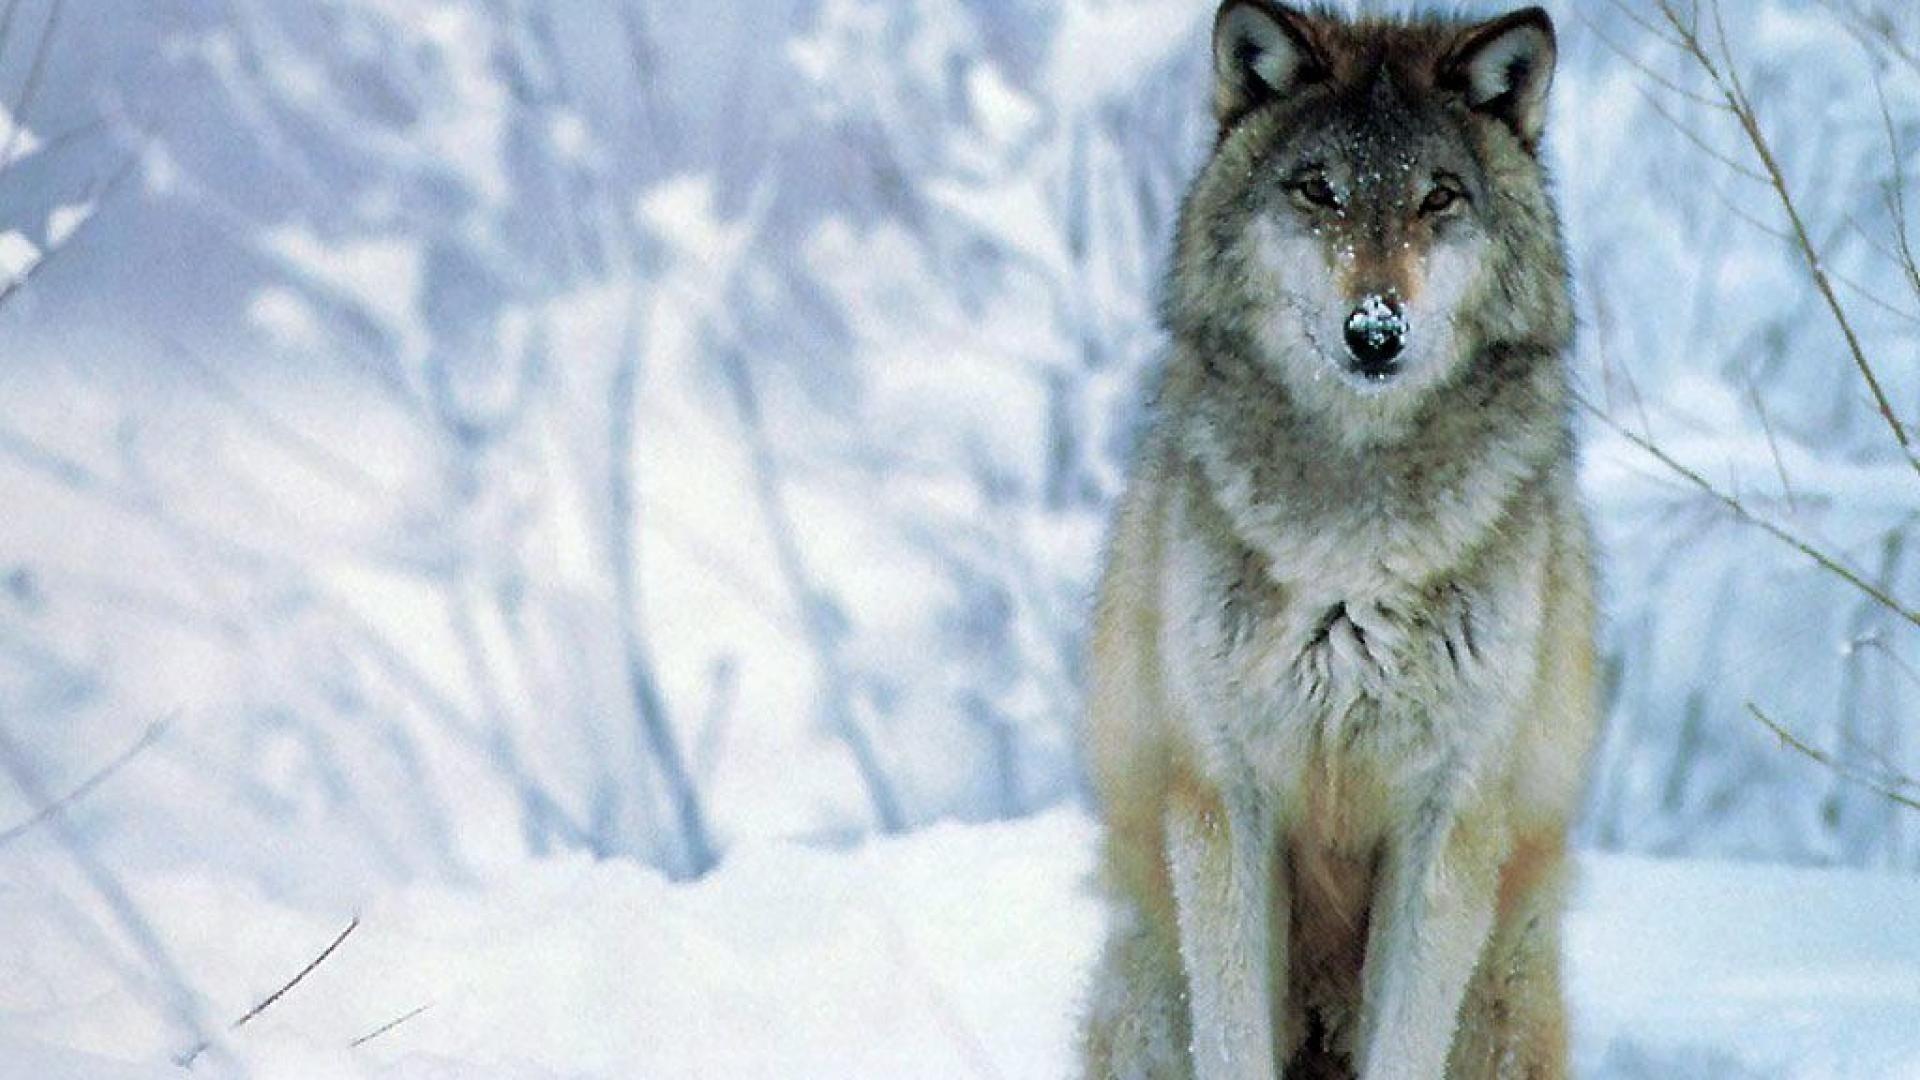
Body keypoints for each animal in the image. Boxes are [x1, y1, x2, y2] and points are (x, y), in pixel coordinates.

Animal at [1076, 4, 1597, 1079]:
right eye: (1320, 190)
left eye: (1439, 197)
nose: (1376, 331)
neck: (1354, 551)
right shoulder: (1224, 800)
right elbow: (1233, 1038)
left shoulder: (1447, 818)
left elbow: (1406, 1039)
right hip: (1146, 981)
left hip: (1505, 997)